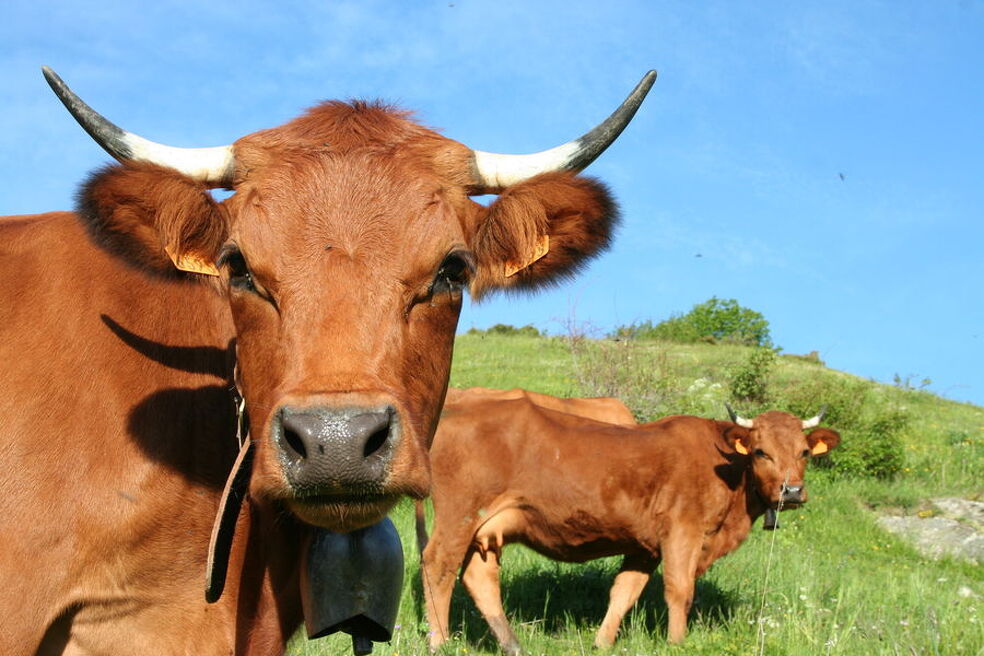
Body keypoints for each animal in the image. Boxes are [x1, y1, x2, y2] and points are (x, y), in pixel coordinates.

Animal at [418, 398, 840, 652]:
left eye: (804, 452)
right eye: (760, 451)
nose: (792, 491)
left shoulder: (644, 545)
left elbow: (624, 592)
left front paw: (602, 642)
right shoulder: (683, 532)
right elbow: (680, 591)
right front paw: (677, 643)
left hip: (486, 530)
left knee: (479, 578)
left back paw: (513, 645)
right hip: (460, 517)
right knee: (438, 567)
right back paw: (439, 642)